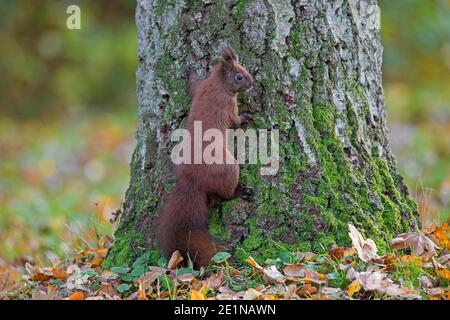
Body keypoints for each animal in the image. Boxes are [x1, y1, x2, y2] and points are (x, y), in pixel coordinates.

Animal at [156, 47, 253, 268]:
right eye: (239, 76)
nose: (252, 83)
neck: (217, 83)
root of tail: (192, 182)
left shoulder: (200, 87)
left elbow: (194, 84)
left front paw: (190, 71)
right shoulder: (228, 105)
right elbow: (235, 121)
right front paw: (246, 117)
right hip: (229, 168)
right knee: (223, 196)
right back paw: (240, 192)